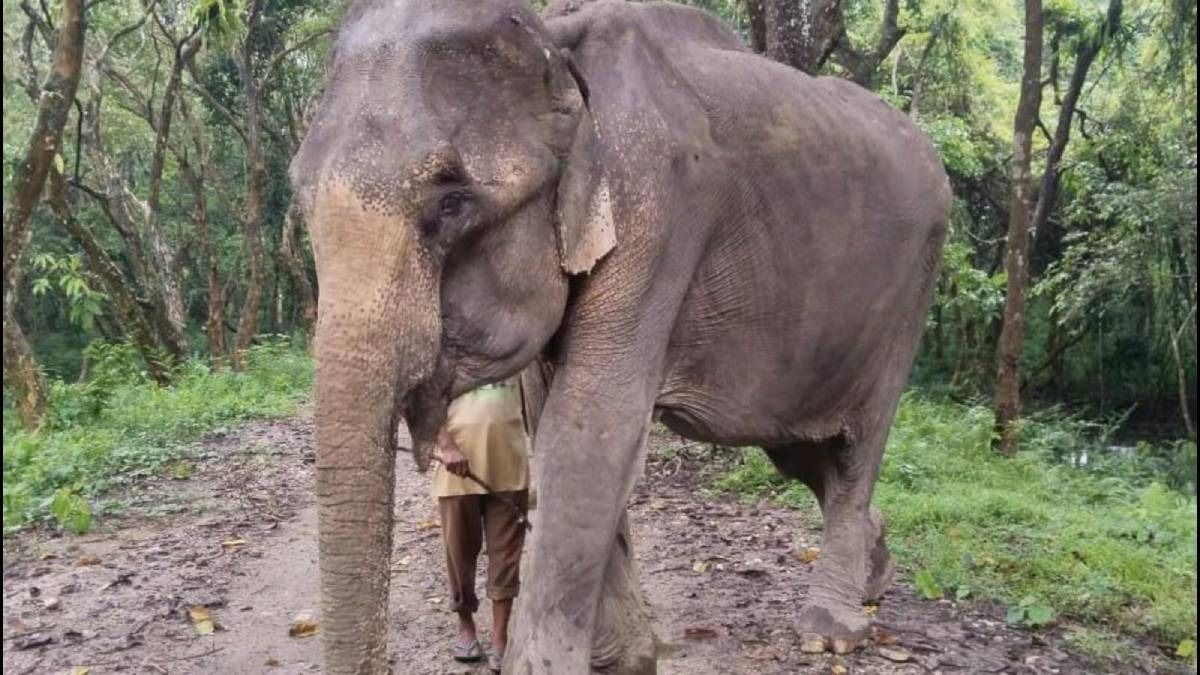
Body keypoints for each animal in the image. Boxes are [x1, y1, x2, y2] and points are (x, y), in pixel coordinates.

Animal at [288, 0, 951, 672]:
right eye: (299, 196)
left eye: (452, 202)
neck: (556, 37)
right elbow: (551, 420)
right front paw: (627, 659)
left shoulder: (657, 214)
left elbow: (588, 430)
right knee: (799, 451)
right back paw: (876, 574)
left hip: (909, 297)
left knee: (856, 449)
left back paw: (831, 631)